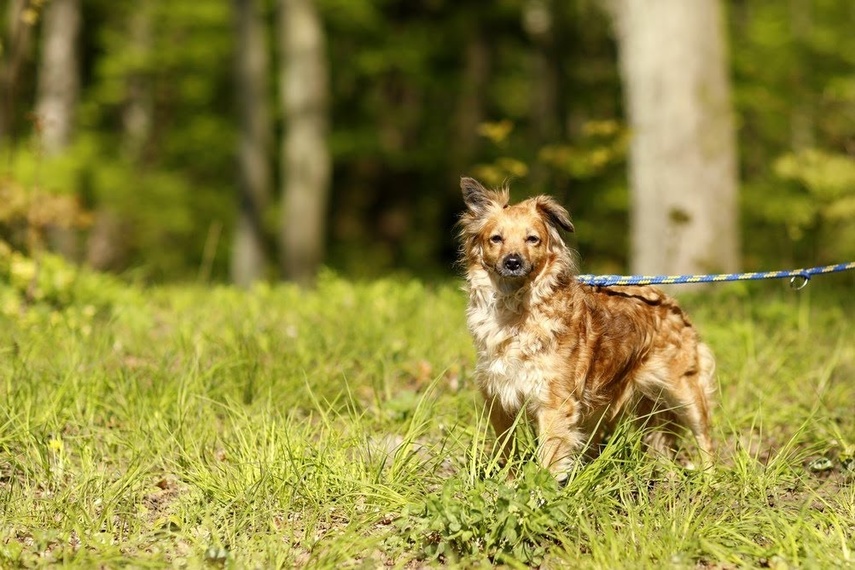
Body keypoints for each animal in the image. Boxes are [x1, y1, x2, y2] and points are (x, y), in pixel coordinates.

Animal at [458, 178, 720, 480]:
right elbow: (506, 449)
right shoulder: (499, 397)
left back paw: (708, 478)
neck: (515, 308)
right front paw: (508, 482)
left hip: (685, 392)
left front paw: (541, 488)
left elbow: (551, 456)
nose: (513, 262)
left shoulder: (555, 402)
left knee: (704, 438)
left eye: (532, 239)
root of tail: (670, 302)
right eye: (496, 239)